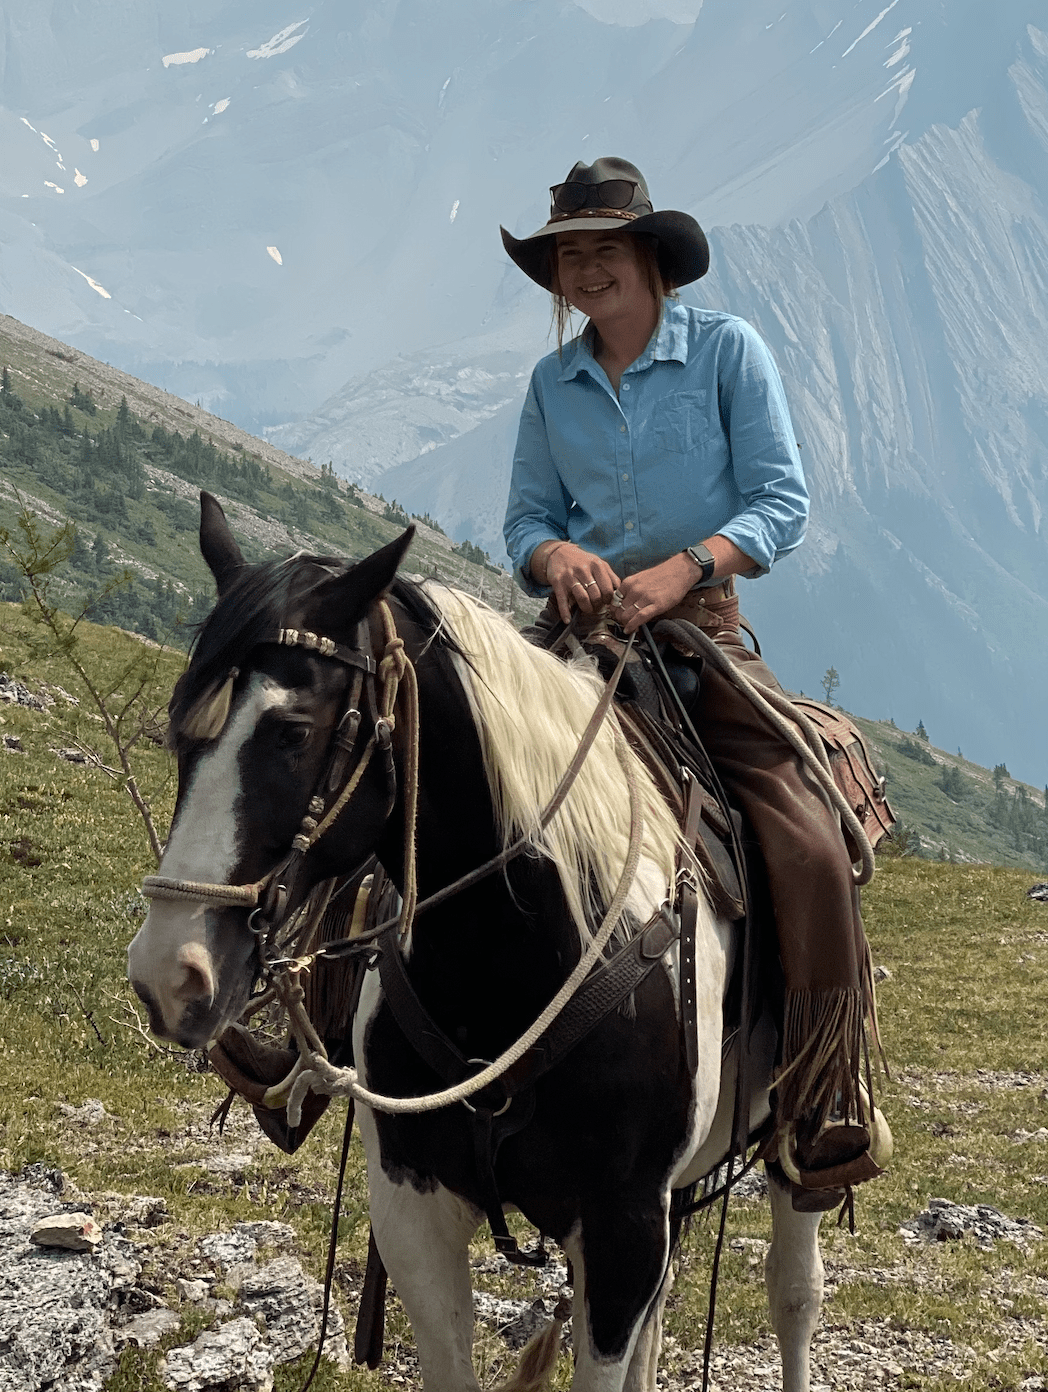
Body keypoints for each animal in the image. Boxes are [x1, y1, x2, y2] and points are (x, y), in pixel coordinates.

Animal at [128, 501, 823, 1392]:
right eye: (184, 724)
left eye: (291, 731)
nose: (168, 973)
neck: (512, 956)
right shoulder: (413, 1207)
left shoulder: (623, 1226)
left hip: (791, 1143)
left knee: (793, 1292)